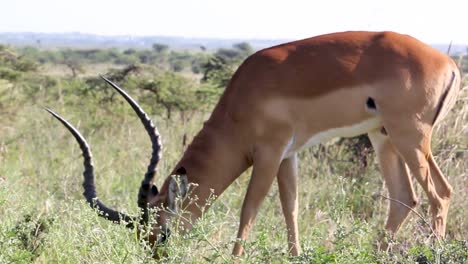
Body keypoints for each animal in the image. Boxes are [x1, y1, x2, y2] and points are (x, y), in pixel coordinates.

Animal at [47, 31, 460, 256]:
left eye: (161, 230)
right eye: (142, 235)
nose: (158, 255)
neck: (244, 97)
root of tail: (448, 63)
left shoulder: (269, 153)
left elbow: (249, 210)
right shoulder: (289, 156)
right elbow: (291, 208)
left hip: (410, 136)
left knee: (440, 193)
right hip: (383, 136)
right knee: (404, 197)